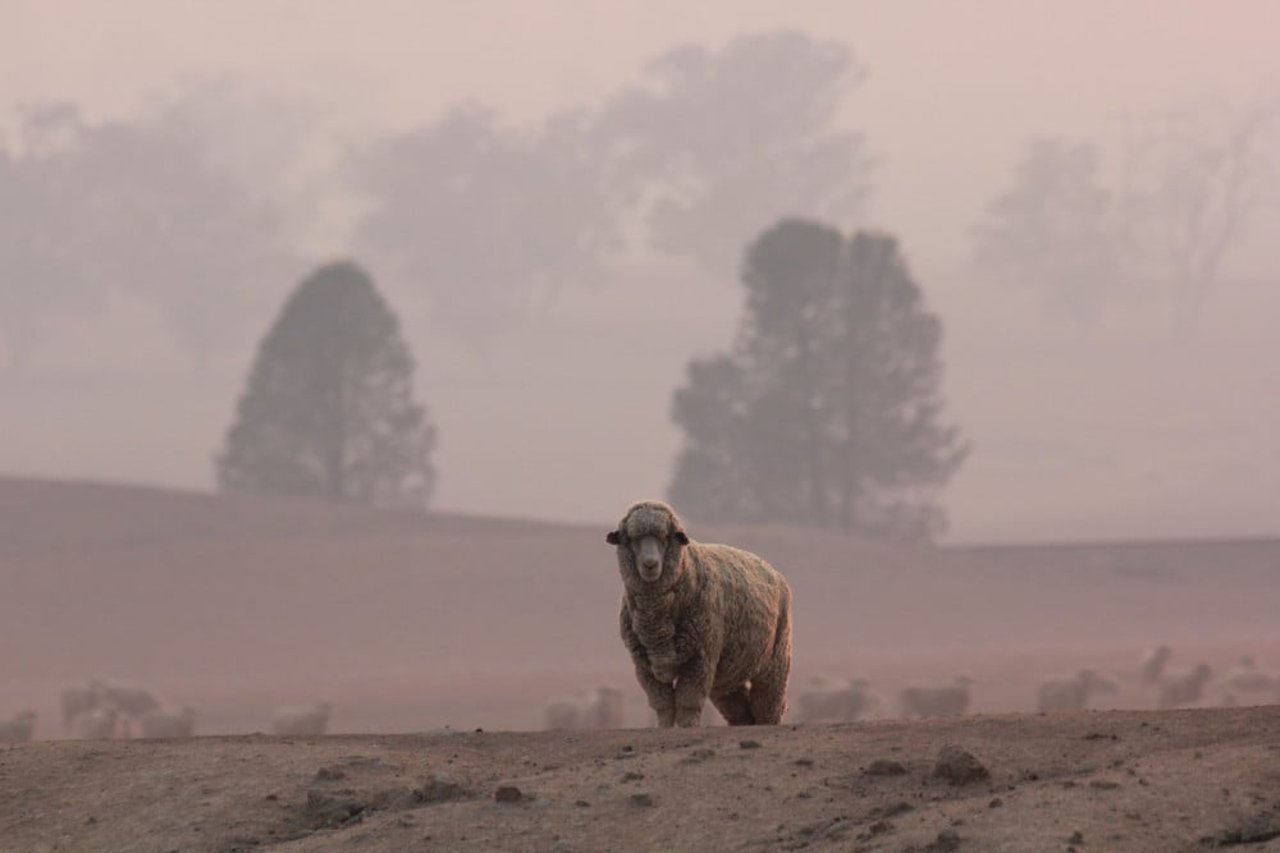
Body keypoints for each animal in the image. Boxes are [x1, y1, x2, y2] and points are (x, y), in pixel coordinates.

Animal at [606, 499, 788, 722]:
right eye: (632, 539)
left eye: (665, 537)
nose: (650, 564)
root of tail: (771, 568)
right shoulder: (644, 665)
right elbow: (663, 706)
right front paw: (665, 726)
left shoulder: (699, 659)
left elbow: (687, 703)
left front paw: (687, 725)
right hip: (727, 673)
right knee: (739, 709)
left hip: (775, 661)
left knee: (768, 705)